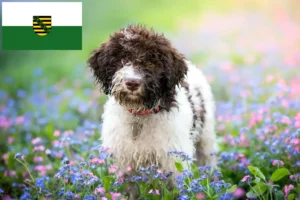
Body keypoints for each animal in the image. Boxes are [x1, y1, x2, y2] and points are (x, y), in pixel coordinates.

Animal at [88, 24, 217, 175]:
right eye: (122, 60)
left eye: (151, 63)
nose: (132, 83)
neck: (139, 115)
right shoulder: (123, 161)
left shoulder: (174, 158)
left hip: (206, 138)